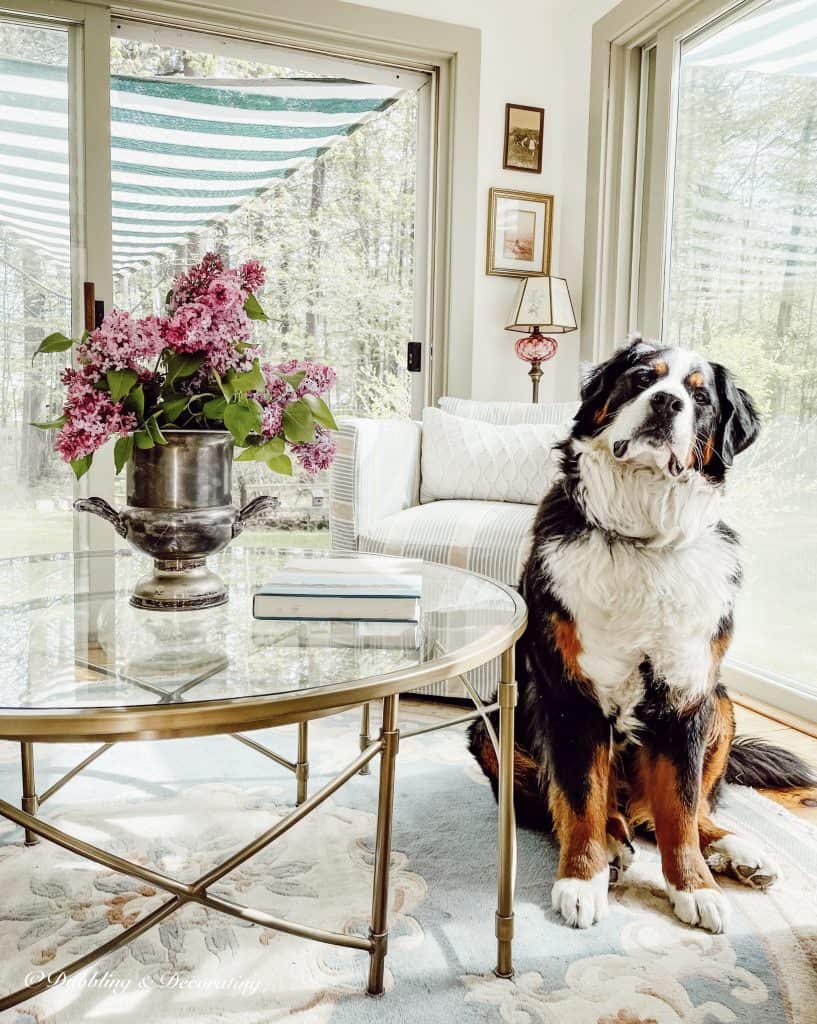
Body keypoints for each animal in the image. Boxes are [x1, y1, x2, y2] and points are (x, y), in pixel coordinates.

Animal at [470, 335, 814, 937]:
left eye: (700, 397)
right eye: (641, 378)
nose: (666, 403)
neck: (644, 540)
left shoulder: (688, 695)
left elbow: (679, 808)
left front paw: (694, 887)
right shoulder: (569, 693)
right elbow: (579, 797)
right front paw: (581, 880)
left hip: (723, 705)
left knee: (678, 812)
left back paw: (737, 851)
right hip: (494, 726)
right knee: (572, 803)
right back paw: (612, 843)